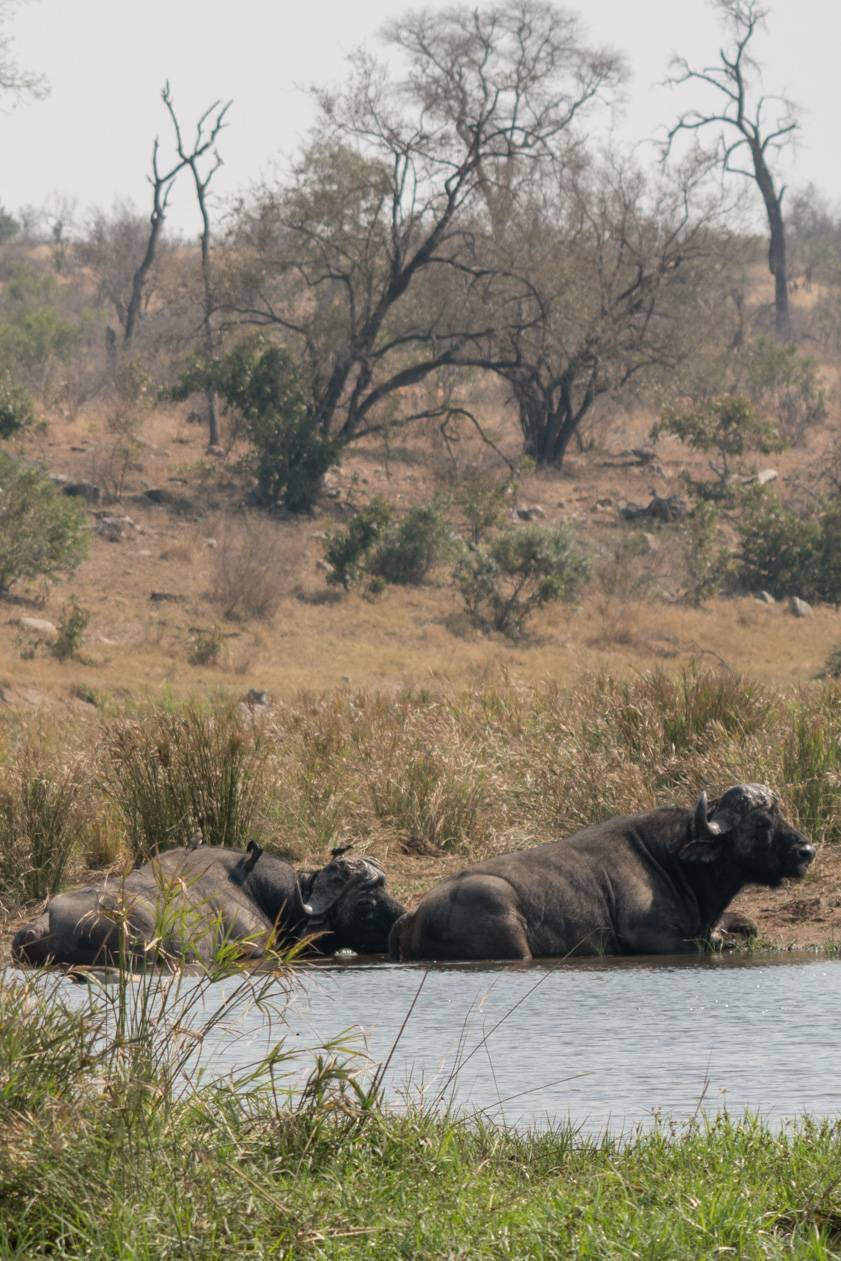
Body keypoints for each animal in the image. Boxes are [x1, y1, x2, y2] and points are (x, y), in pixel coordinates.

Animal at [390, 781, 817, 958]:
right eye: (760, 823)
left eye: (781, 814)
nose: (806, 851)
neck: (674, 860)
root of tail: (412, 916)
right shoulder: (650, 937)